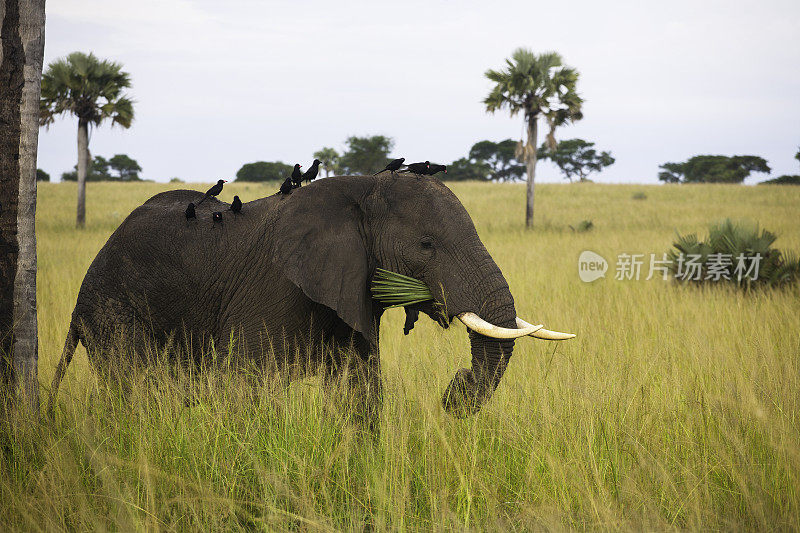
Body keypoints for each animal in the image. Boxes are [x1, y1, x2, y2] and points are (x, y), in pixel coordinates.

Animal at [48, 175, 576, 424]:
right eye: (426, 245)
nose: (455, 388)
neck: (362, 189)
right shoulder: (273, 287)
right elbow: (248, 390)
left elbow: (360, 389)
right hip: (112, 311)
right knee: (138, 387)